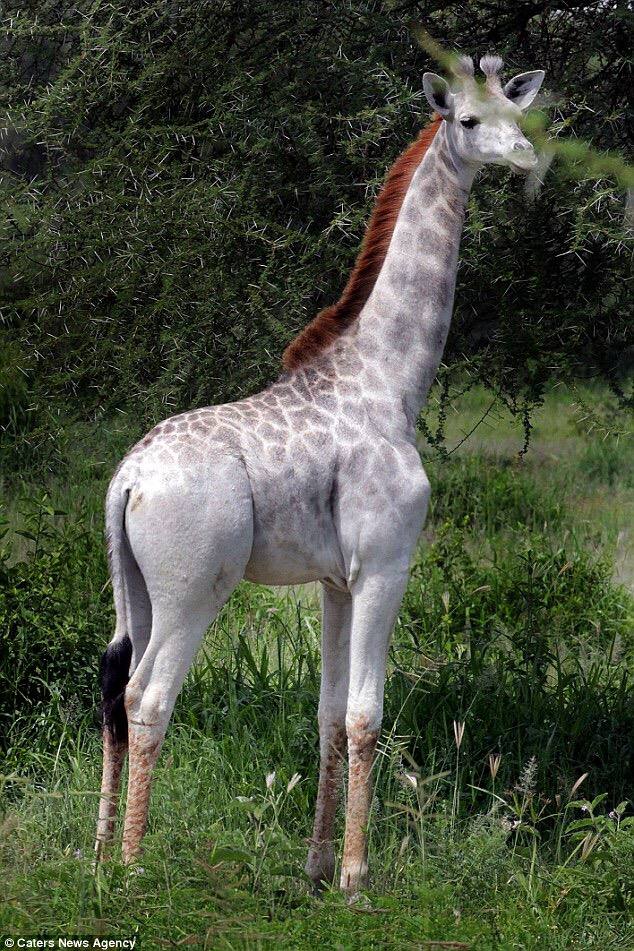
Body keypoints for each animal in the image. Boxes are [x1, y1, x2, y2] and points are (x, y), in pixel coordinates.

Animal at [95, 54, 544, 895]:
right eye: (468, 119)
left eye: (517, 109)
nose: (527, 155)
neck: (392, 382)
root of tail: (127, 478)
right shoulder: (384, 565)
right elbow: (368, 714)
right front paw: (357, 878)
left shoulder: (336, 579)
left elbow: (329, 714)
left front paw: (313, 867)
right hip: (192, 587)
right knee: (150, 695)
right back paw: (134, 868)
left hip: (132, 583)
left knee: (114, 683)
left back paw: (101, 849)